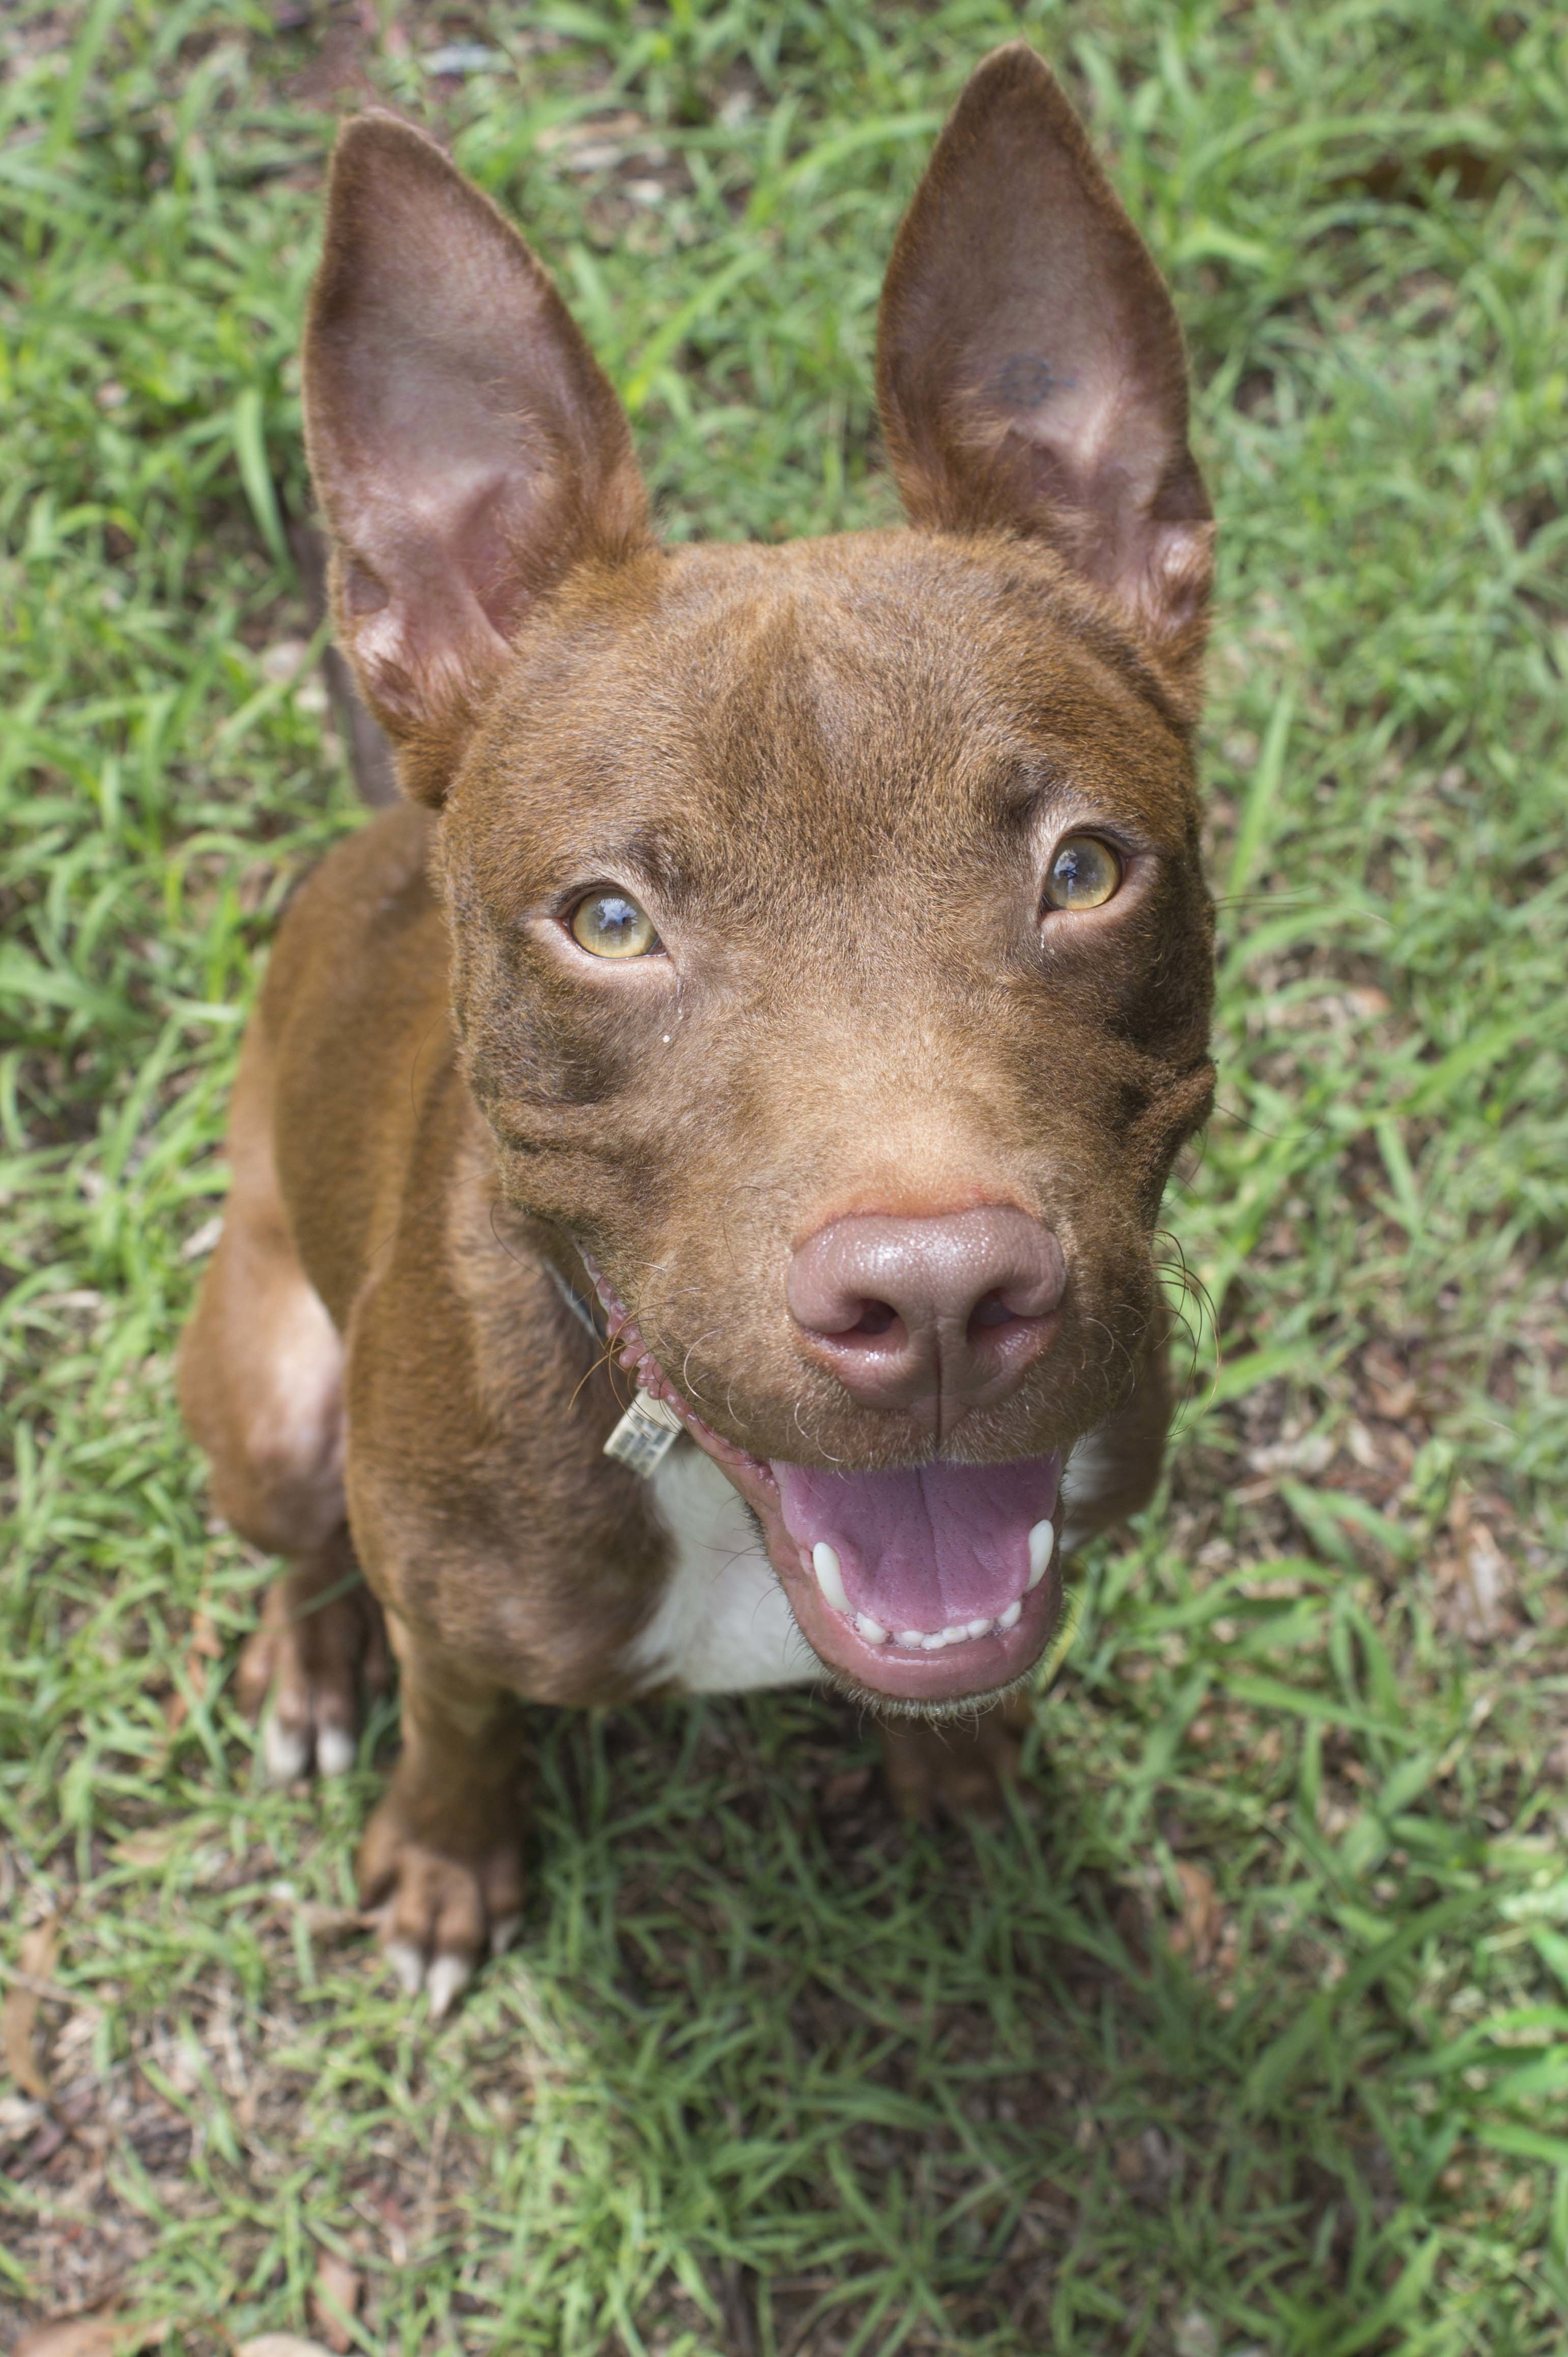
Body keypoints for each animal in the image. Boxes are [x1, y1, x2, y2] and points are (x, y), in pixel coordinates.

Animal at [178, 41, 1216, 2015]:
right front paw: (446, 1862)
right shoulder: (455, 1611)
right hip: (269, 1392)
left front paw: (965, 1763)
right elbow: (459, 1721)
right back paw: (308, 1668)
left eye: (1084, 870)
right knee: (307, 1548)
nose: (939, 1298)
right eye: (609, 921)